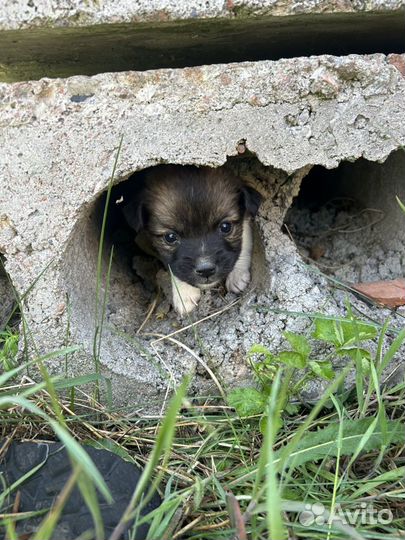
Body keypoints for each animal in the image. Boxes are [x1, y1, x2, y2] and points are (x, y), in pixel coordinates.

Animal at [124, 166, 262, 316]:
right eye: (170, 237)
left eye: (226, 227)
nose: (206, 270)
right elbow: (172, 266)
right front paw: (184, 294)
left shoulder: (246, 219)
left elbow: (245, 241)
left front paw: (238, 274)